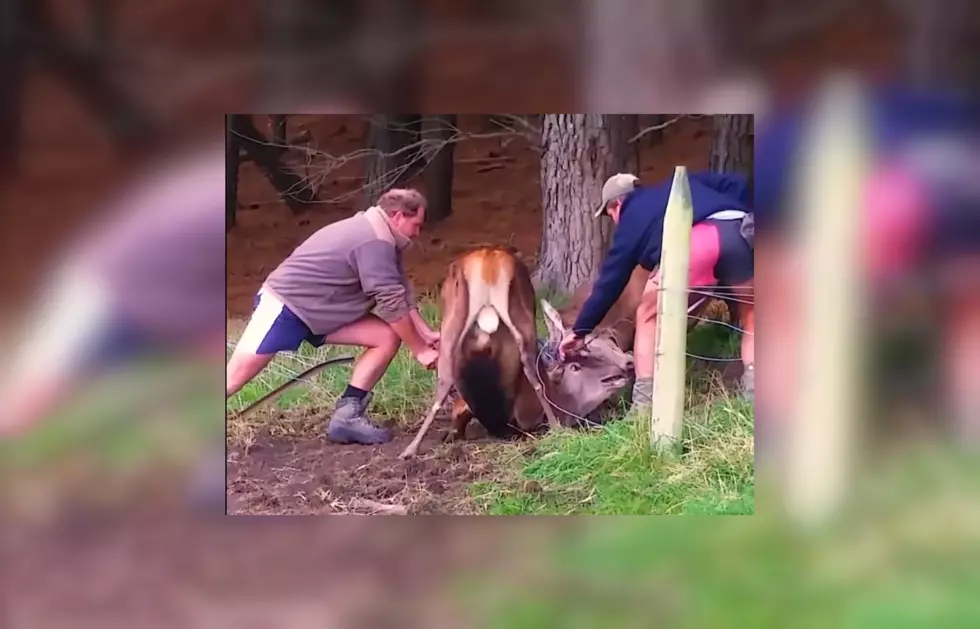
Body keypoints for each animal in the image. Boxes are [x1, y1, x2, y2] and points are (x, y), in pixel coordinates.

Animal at [400, 245, 636, 456]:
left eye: (612, 344)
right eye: (577, 364)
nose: (628, 363)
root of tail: (488, 261)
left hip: (452, 320)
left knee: (444, 380)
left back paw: (410, 449)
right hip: (521, 314)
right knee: (532, 376)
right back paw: (556, 428)